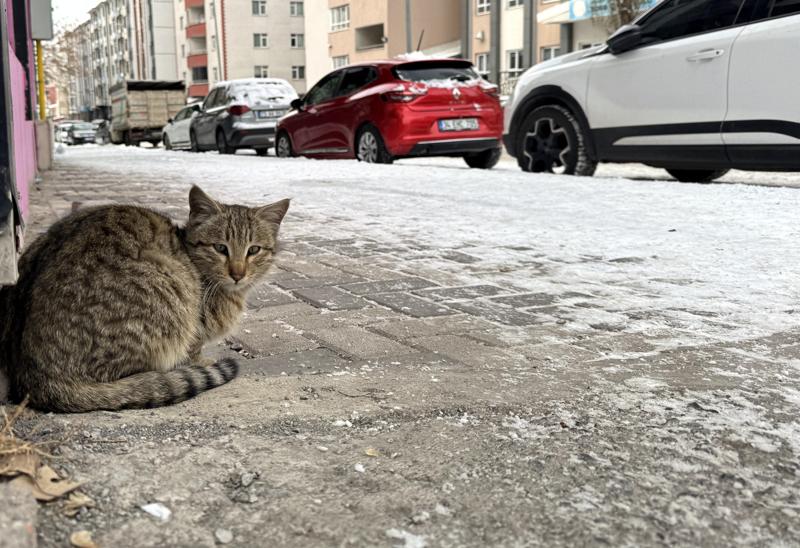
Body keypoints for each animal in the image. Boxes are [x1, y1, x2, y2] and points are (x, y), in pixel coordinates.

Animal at [0, 186, 289, 413]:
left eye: (254, 250)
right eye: (220, 248)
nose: (238, 274)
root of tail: (35, 379)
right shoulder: (193, 326)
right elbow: (193, 350)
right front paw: (200, 362)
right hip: (168, 292)